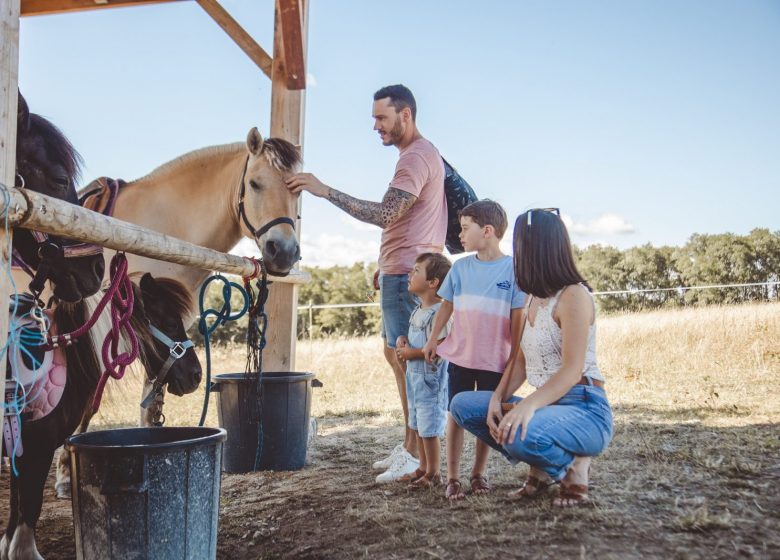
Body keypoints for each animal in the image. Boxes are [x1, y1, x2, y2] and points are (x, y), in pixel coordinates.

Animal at [0, 276, 201, 560]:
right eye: (171, 323)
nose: (196, 375)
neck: (67, 351)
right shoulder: (37, 448)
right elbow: (30, 503)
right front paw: (24, 551)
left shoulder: (20, 449)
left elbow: (16, 502)